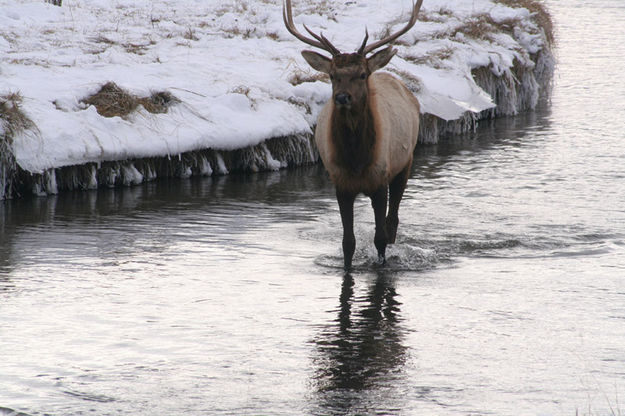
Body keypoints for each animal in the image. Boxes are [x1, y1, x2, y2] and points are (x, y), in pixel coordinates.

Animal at [284, 0, 424, 270]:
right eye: (332, 75)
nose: (341, 97)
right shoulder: (341, 184)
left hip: (405, 163)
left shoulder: (380, 181)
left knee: (393, 222)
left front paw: (381, 264)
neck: (357, 160)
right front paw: (348, 268)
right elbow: (347, 243)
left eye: (361, 74)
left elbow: (380, 238)